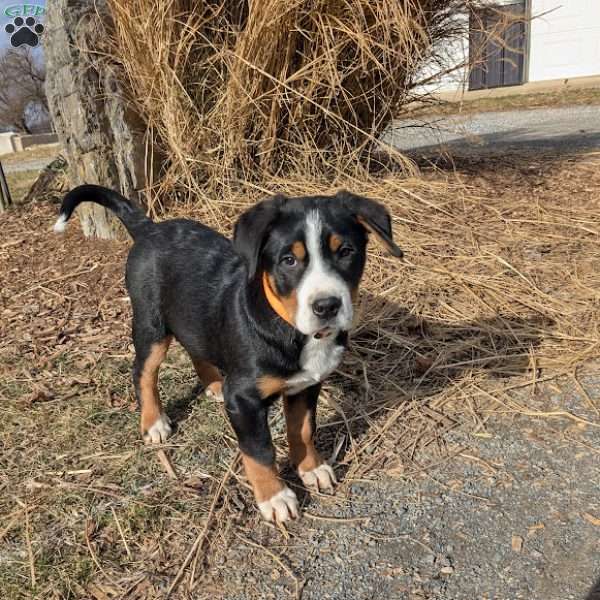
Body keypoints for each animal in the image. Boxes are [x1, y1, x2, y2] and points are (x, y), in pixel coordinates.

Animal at [55, 185, 404, 524]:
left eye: (346, 252)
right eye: (288, 261)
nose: (327, 306)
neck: (288, 325)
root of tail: (150, 228)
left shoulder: (306, 385)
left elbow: (302, 429)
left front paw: (311, 468)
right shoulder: (244, 400)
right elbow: (259, 451)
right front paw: (275, 498)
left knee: (195, 347)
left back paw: (212, 384)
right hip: (151, 326)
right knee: (143, 372)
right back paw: (153, 423)